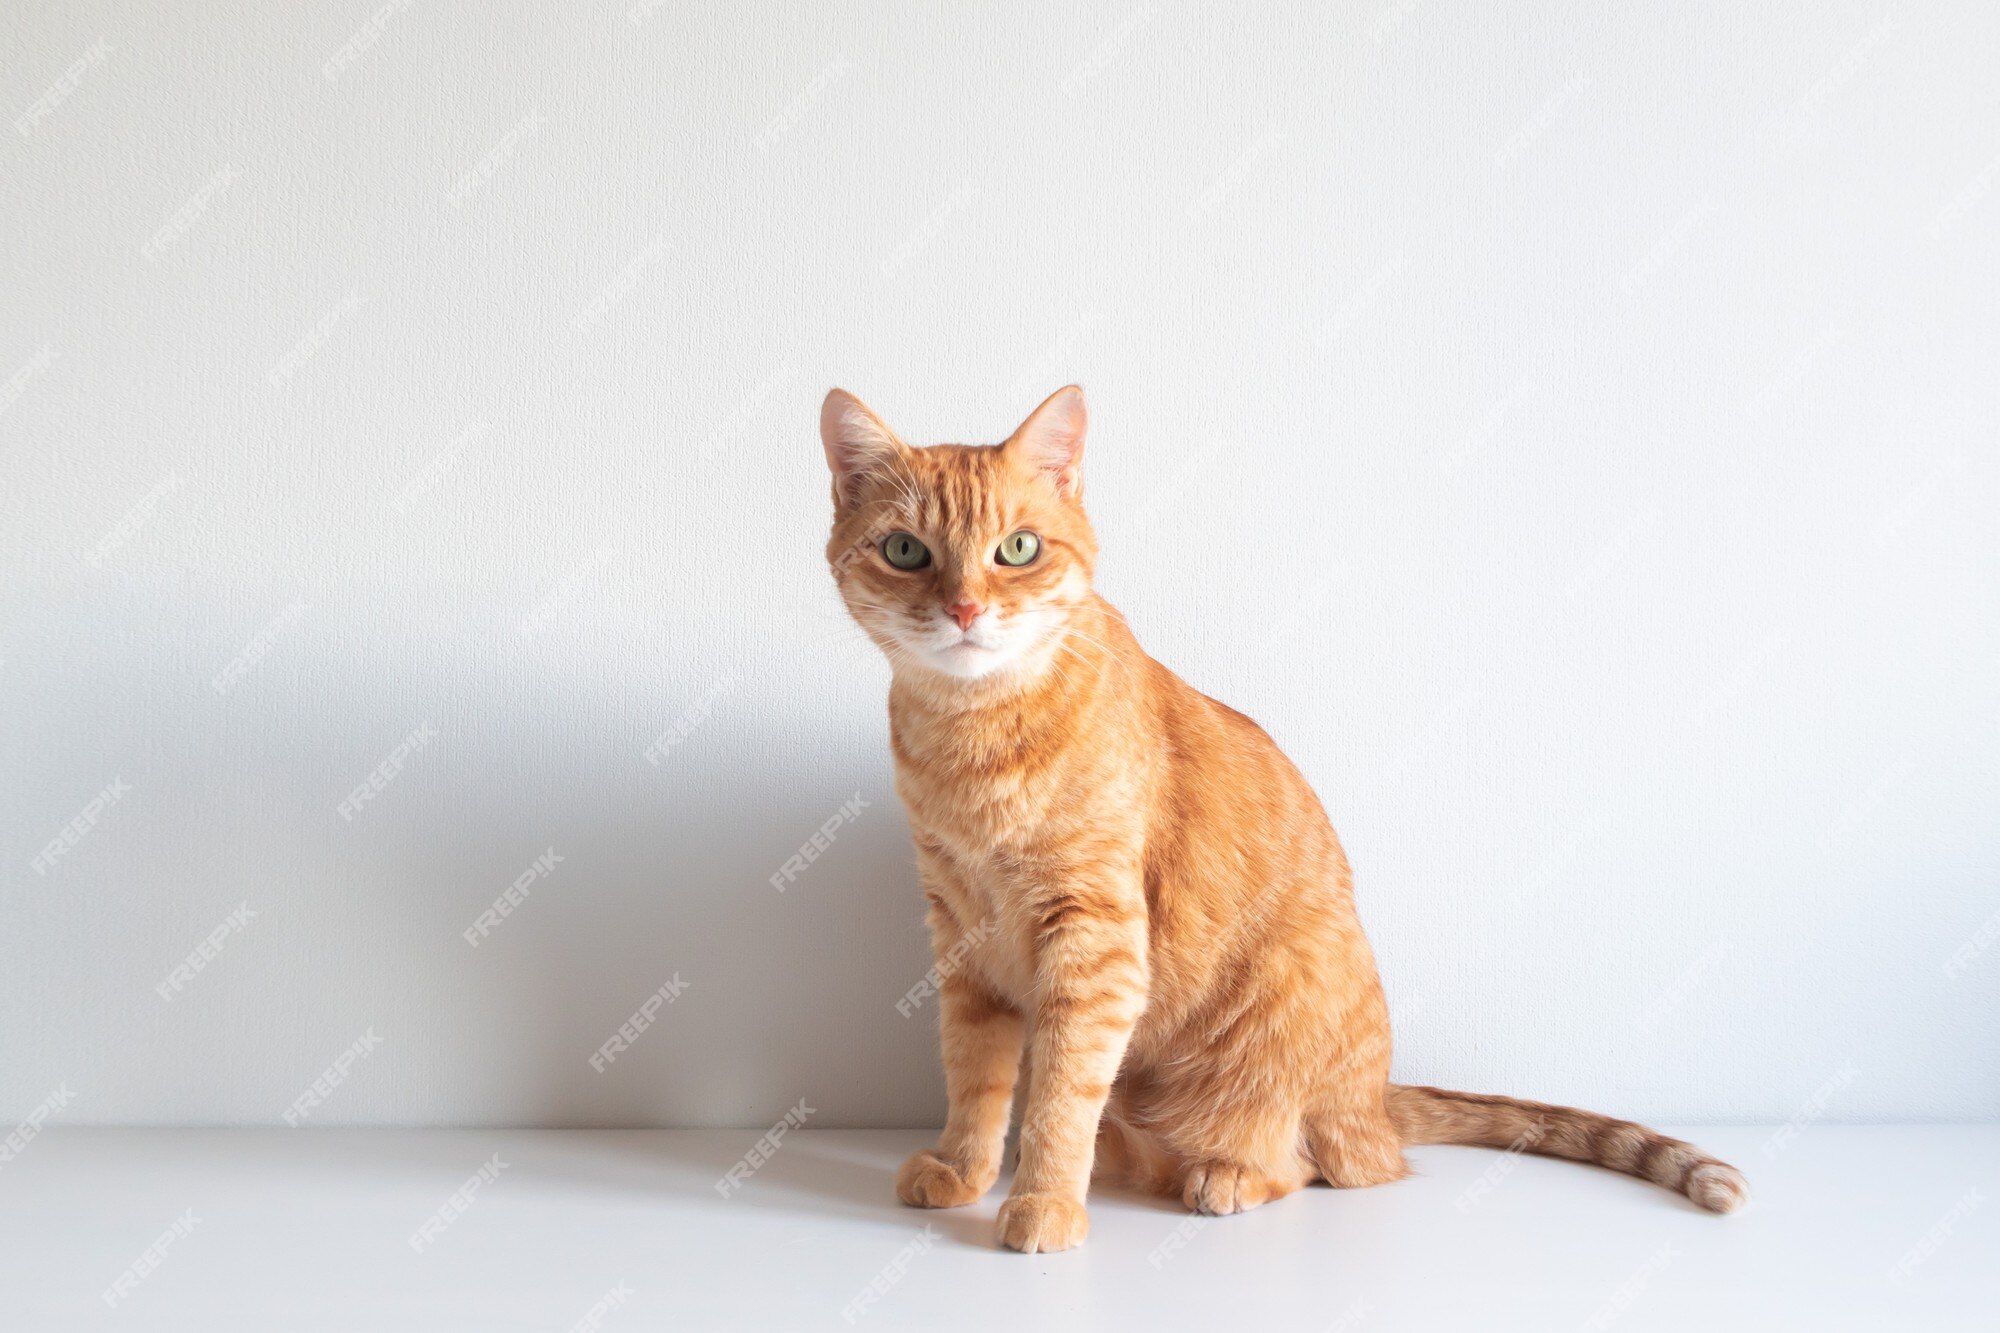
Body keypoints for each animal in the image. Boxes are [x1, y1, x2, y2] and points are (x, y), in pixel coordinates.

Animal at [820, 382, 1744, 1248]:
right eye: (906, 551)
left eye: (1018, 549)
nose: (965, 609)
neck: (970, 745)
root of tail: (1376, 1100)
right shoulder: (961, 938)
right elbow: (976, 1080)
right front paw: (964, 1169)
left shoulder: (1094, 940)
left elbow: (1059, 1095)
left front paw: (1044, 1199)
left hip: (1277, 1030)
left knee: (1313, 1163)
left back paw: (1220, 1174)